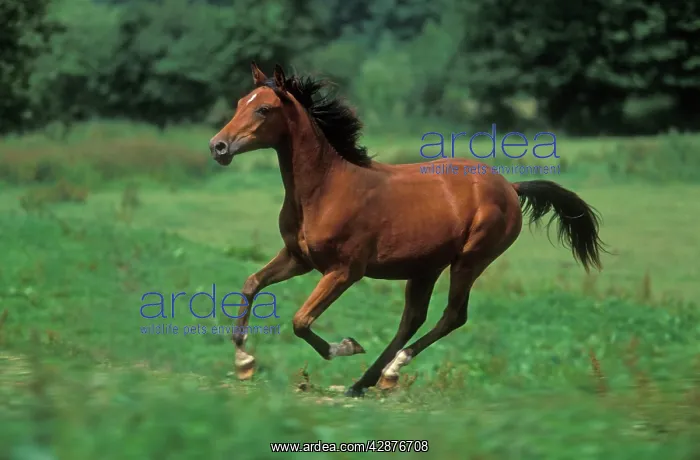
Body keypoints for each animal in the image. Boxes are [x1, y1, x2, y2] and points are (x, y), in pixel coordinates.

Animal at [208, 62, 606, 397]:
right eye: (241, 102)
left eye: (263, 109)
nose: (218, 146)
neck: (325, 189)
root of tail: (509, 186)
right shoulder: (298, 258)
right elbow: (252, 283)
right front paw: (244, 362)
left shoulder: (344, 271)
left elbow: (300, 321)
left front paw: (347, 346)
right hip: (425, 267)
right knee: (413, 319)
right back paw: (365, 382)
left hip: (470, 261)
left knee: (452, 316)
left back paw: (390, 371)